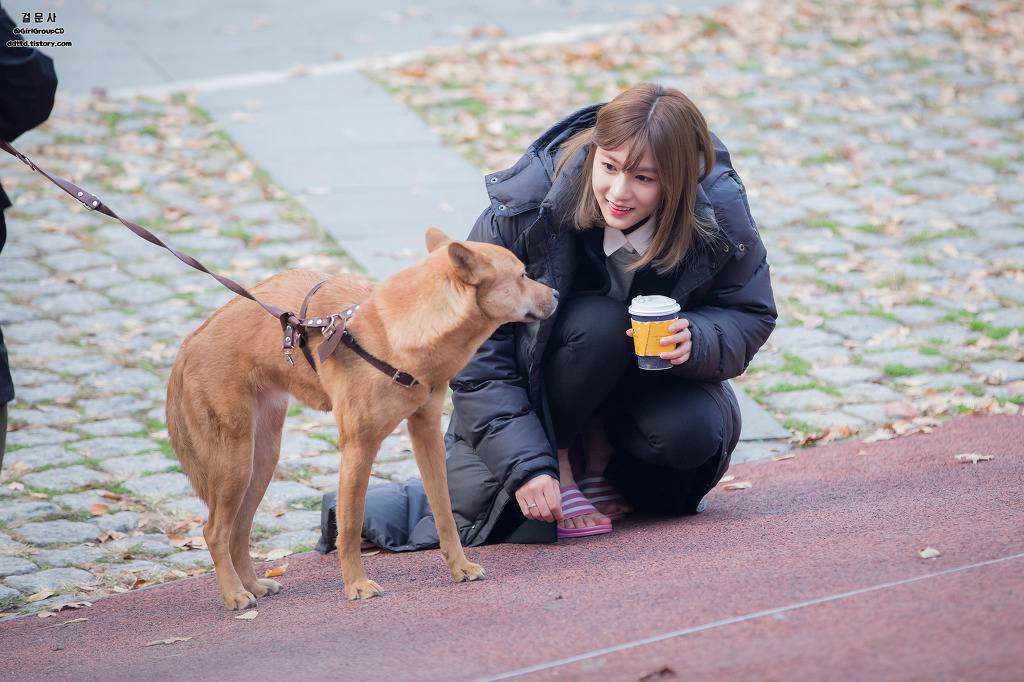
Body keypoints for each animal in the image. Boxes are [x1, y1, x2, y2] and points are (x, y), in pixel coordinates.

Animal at [163, 228, 557, 606]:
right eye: (522, 275)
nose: (554, 293)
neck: (398, 332)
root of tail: (188, 343)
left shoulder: (426, 434)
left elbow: (444, 511)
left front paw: (459, 567)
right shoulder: (358, 447)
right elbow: (350, 525)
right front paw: (356, 585)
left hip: (260, 461)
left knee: (239, 529)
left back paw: (254, 585)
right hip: (235, 463)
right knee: (215, 531)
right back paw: (234, 594)